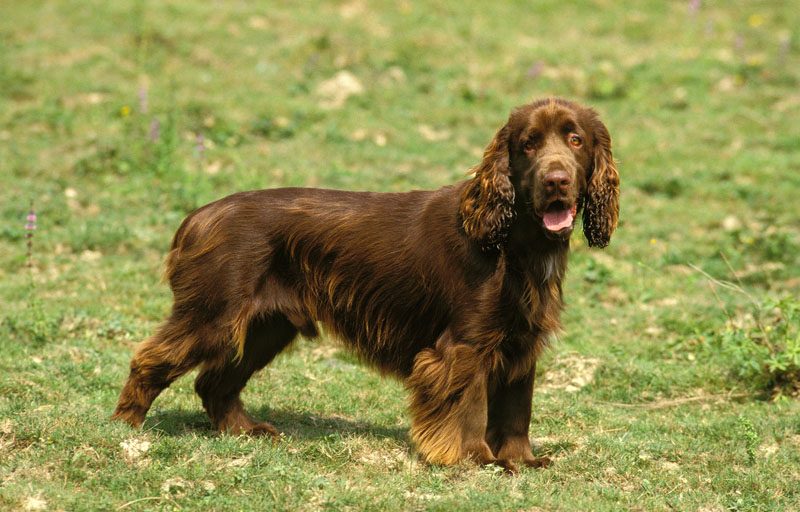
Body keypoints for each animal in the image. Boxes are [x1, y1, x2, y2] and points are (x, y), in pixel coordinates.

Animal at [112, 97, 620, 472]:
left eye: (575, 139)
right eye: (528, 145)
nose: (556, 181)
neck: (512, 240)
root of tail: (196, 218)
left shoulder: (521, 340)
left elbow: (517, 408)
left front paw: (522, 460)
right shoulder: (465, 346)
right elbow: (471, 406)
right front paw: (477, 459)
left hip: (266, 327)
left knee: (214, 382)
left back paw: (246, 430)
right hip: (214, 315)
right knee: (150, 360)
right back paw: (126, 426)